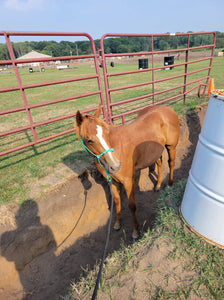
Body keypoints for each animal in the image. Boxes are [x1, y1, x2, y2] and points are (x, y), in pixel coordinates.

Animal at [76, 104, 179, 240]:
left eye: (107, 133)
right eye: (89, 140)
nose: (115, 166)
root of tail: (168, 109)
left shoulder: (128, 182)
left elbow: (131, 205)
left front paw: (136, 232)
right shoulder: (112, 182)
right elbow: (117, 201)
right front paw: (117, 223)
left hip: (171, 147)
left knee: (171, 163)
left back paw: (170, 184)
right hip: (155, 150)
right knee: (160, 163)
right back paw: (157, 185)